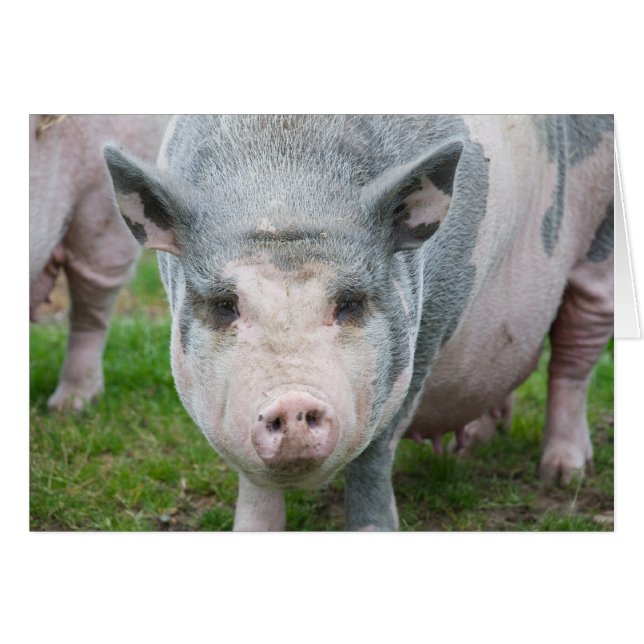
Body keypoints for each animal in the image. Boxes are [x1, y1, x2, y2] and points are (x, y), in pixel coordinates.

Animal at [103, 115, 613, 531]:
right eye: (227, 305)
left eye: (349, 302)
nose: (292, 401)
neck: (285, 188)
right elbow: (255, 485)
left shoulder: (422, 342)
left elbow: (374, 458)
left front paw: (375, 529)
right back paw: (469, 448)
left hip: (601, 244)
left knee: (572, 362)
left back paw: (564, 474)